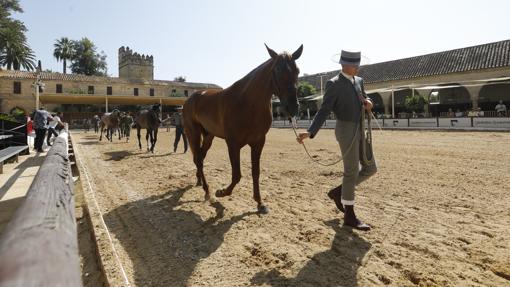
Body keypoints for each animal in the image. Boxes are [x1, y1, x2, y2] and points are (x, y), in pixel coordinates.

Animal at [183, 44, 302, 214]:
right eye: (278, 70)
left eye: (297, 70)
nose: (292, 107)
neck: (247, 103)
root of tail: (190, 99)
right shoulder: (233, 144)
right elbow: (237, 175)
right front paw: (222, 192)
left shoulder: (258, 143)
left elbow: (255, 172)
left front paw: (260, 203)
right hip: (193, 133)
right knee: (198, 159)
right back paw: (208, 191)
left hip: (209, 136)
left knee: (200, 158)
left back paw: (200, 181)